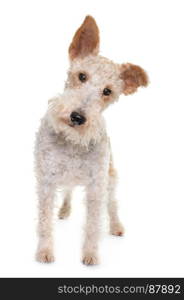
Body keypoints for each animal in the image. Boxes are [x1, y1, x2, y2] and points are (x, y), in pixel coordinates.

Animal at [34, 15, 148, 264]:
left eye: (107, 91)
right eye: (82, 76)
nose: (77, 117)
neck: (72, 142)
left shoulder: (96, 184)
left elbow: (93, 224)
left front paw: (90, 255)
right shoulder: (47, 179)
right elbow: (45, 220)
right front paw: (45, 252)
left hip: (110, 177)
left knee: (112, 204)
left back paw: (116, 226)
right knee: (67, 192)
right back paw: (64, 210)